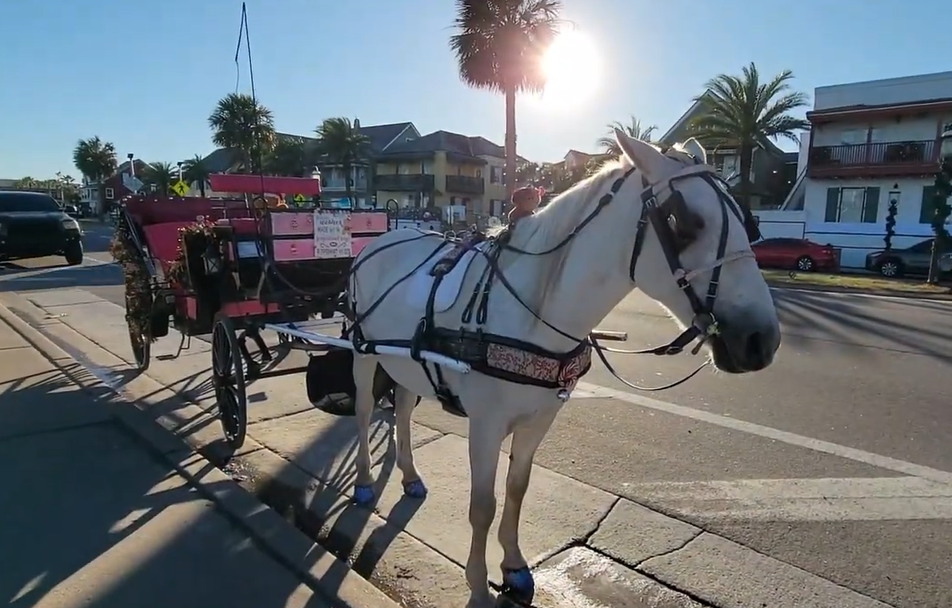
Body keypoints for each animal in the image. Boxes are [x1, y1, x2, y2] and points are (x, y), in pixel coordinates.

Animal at [346, 128, 781, 608]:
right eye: (684, 221)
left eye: (747, 221)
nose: (761, 339)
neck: (531, 308)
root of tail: (378, 242)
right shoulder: (485, 424)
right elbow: (483, 505)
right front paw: (478, 582)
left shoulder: (539, 420)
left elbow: (517, 489)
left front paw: (513, 565)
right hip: (364, 353)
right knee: (364, 411)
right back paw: (363, 482)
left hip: (404, 361)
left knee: (403, 408)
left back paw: (408, 475)